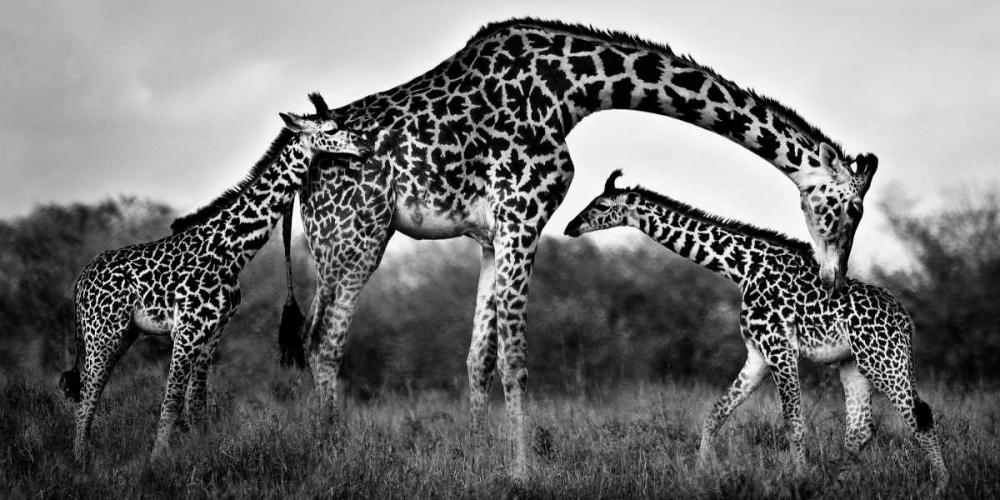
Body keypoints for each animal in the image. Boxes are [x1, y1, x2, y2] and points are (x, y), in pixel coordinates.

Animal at [58, 94, 371, 462]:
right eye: (332, 129)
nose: (366, 146)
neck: (230, 252)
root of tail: (81, 281)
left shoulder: (213, 332)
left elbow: (197, 404)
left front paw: (199, 454)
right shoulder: (186, 331)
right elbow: (171, 401)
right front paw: (156, 462)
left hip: (122, 335)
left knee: (89, 392)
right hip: (103, 333)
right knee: (87, 397)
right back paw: (81, 461)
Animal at [280, 18, 879, 478]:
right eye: (851, 209)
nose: (832, 279)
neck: (574, 88)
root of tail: (299, 169)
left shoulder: (492, 234)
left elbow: (479, 357)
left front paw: (478, 459)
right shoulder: (524, 211)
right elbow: (516, 358)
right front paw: (523, 471)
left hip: (335, 243)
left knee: (313, 338)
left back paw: (319, 447)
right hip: (357, 237)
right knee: (325, 343)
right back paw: (332, 456)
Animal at [564, 170, 948, 494]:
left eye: (601, 205)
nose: (570, 226)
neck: (743, 269)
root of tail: (905, 320)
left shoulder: (779, 348)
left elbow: (793, 421)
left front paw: (799, 479)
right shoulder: (758, 354)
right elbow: (715, 413)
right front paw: (702, 473)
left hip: (882, 360)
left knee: (919, 414)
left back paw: (941, 484)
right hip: (853, 365)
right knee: (860, 429)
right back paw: (836, 483)